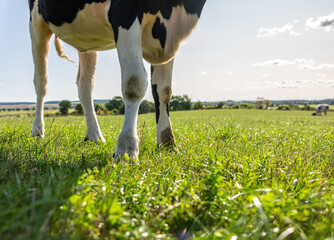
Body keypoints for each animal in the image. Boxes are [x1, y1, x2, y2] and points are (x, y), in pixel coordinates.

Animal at [28, 0, 206, 161]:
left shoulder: (167, 37)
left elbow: (164, 91)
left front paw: (168, 143)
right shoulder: (126, 13)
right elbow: (134, 83)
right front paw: (126, 149)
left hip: (88, 39)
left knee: (85, 85)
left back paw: (95, 136)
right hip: (36, 21)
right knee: (41, 82)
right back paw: (37, 131)